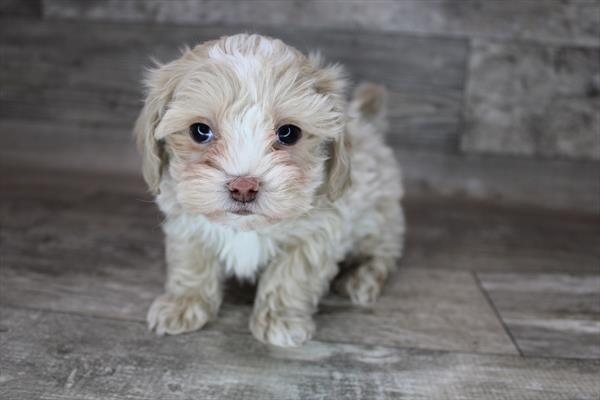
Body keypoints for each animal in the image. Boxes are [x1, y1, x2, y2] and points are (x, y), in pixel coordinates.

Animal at [137, 34, 406, 346]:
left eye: (288, 133)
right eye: (200, 131)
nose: (243, 186)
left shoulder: (318, 230)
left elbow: (291, 275)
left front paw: (280, 320)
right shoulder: (186, 222)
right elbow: (191, 260)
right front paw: (182, 304)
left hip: (381, 216)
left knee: (382, 251)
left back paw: (361, 277)